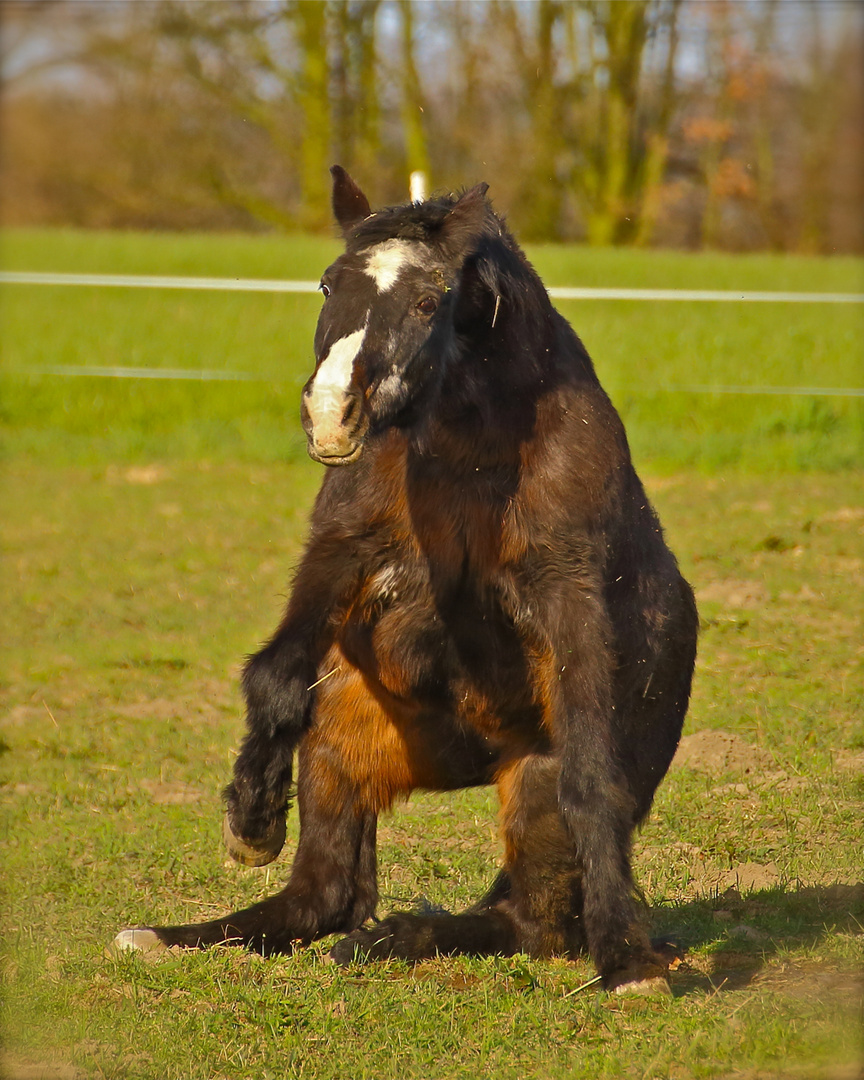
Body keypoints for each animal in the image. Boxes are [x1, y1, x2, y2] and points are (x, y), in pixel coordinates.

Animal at [114, 170, 699, 993]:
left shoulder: (569, 591)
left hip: (531, 788)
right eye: (329, 284)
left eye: (429, 300)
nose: (332, 414)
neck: (467, 448)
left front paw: (628, 957)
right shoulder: (342, 550)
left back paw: (402, 937)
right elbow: (274, 675)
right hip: (342, 745)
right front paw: (250, 822)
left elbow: (593, 775)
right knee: (322, 897)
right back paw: (182, 936)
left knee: (530, 922)